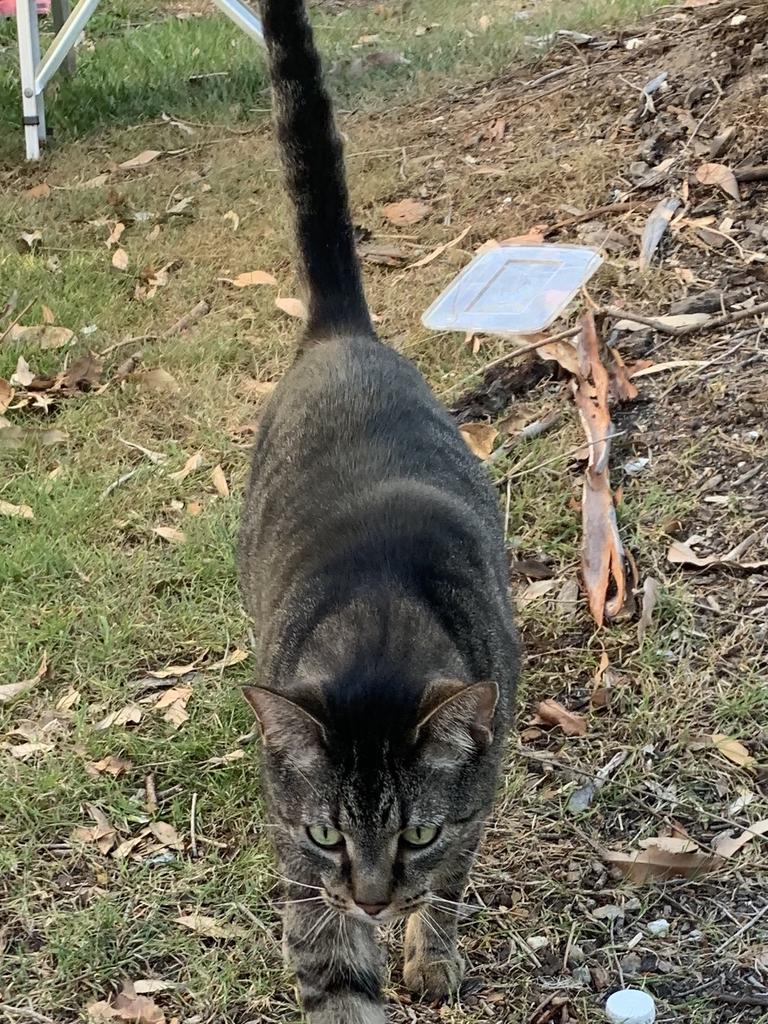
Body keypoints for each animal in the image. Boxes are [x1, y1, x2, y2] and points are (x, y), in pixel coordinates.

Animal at [237, 0, 520, 1015]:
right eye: (328, 836)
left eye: (416, 834)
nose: (369, 897)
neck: (379, 625)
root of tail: (340, 332)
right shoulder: (301, 873)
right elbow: (336, 985)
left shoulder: (475, 802)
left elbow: (451, 886)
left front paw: (430, 953)